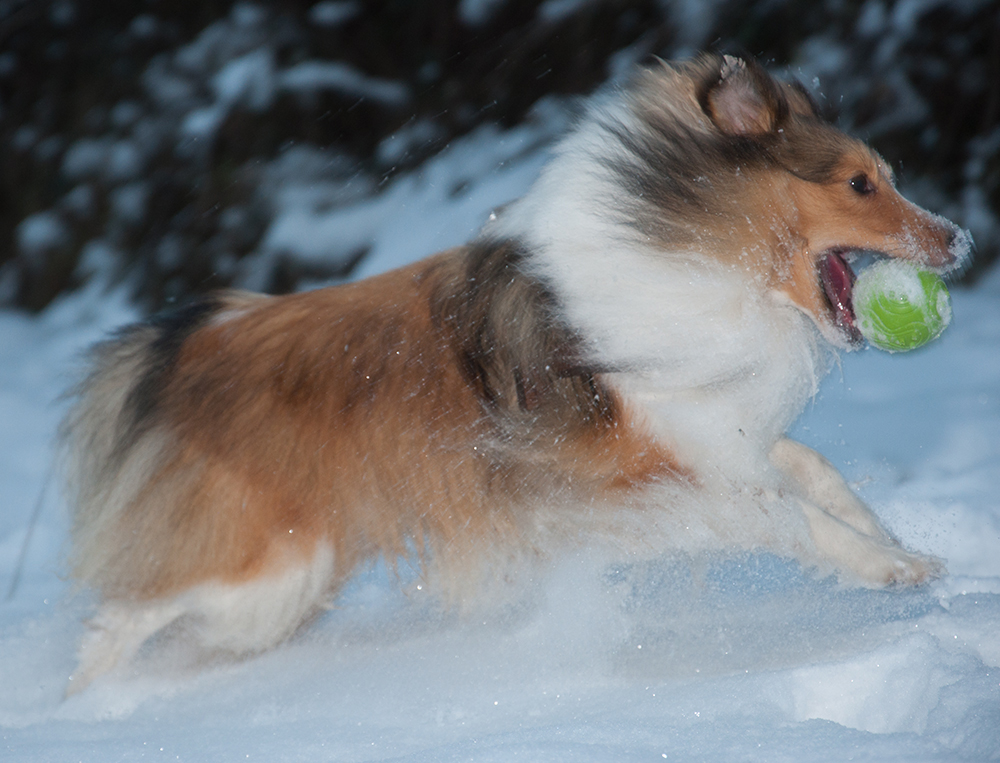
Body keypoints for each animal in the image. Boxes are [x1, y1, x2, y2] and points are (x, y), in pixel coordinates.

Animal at [60, 55, 968, 692]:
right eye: (859, 182)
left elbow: (814, 471)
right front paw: (895, 568)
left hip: (280, 593)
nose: (960, 241)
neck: (689, 249)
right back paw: (83, 700)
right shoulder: (652, 478)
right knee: (119, 617)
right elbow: (793, 518)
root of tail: (187, 343)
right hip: (265, 573)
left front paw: (892, 535)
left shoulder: (714, 436)